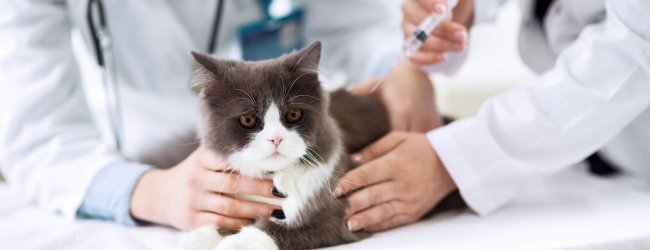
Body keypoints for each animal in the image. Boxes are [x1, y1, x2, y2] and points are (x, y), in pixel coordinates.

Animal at [177, 41, 388, 250]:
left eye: (293, 114)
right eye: (248, 119)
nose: (276, 139)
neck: (274, 176)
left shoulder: (341, 215)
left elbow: (281, 229)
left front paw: (239, 242)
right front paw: (199, 237)